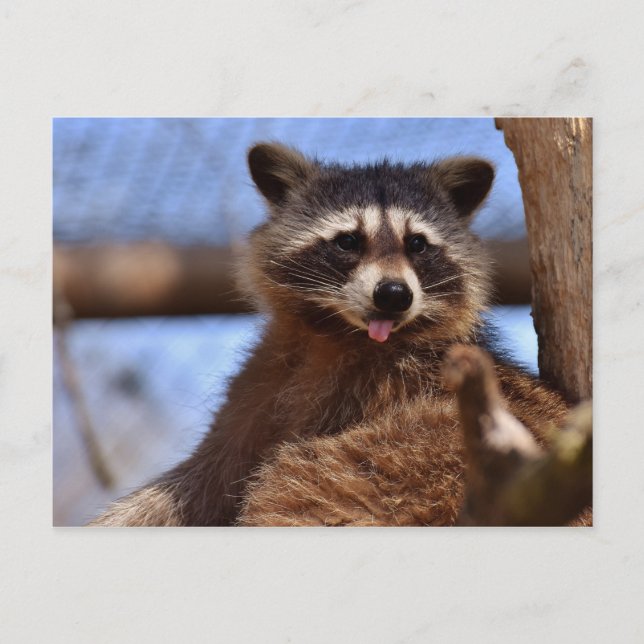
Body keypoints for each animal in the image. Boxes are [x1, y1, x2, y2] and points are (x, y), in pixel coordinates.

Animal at [91, 142, 575, 527]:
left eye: (417, 244)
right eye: (348, 241)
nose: (394, 295)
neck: (337, 333)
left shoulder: (395, 392)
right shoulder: (264, 383)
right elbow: (204, 476)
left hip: (421, 460)